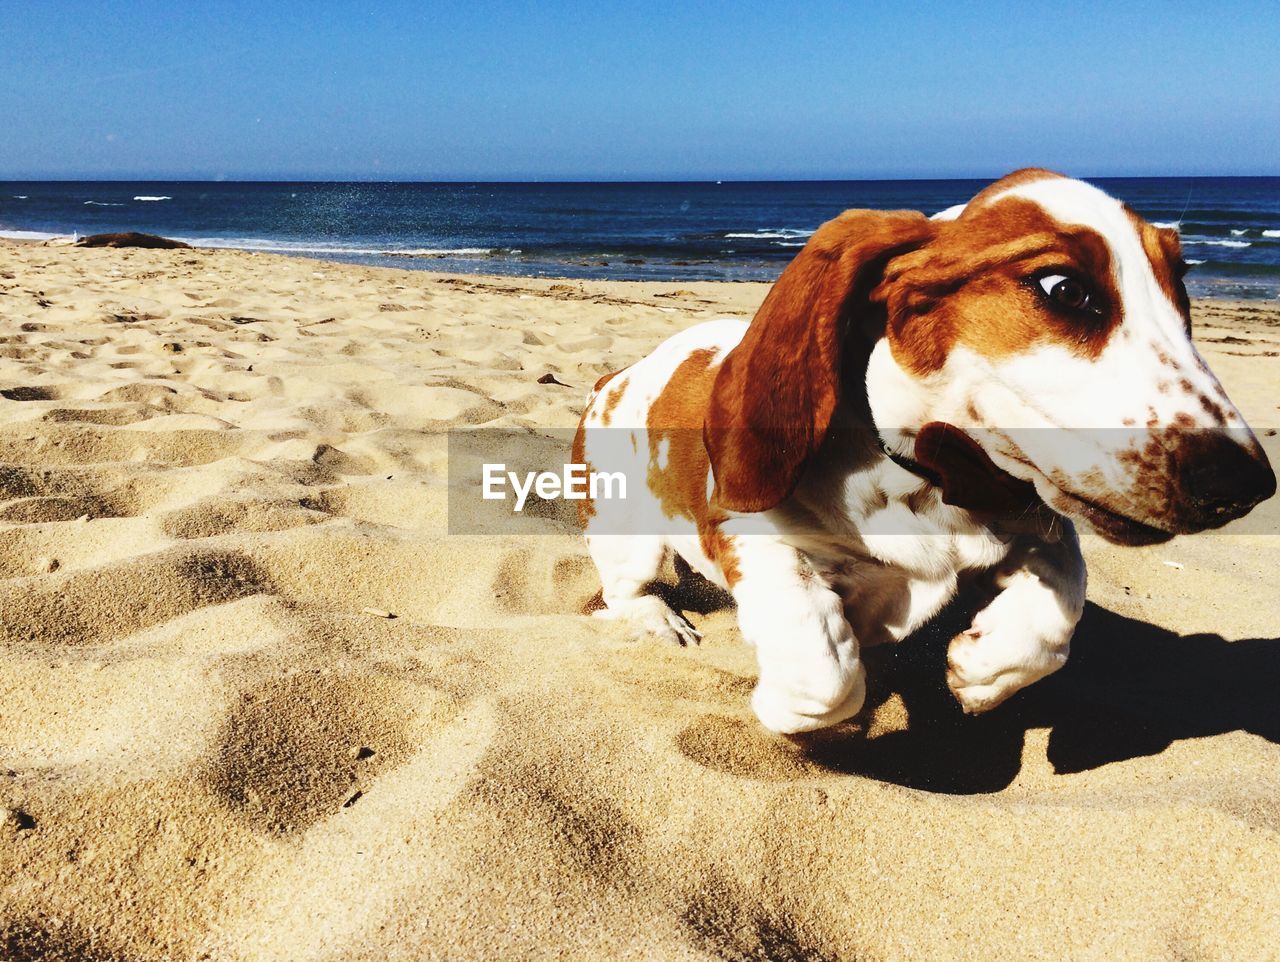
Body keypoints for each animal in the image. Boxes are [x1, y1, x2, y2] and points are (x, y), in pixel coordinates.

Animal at [576, 168, 1274, 731]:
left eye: (1182, 291)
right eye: (1064, 289)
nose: (1245, 487)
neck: (926, 487)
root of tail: (614, 377)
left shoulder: (1028, 519)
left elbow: (1063, 596)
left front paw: (987, 666)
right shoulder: (747, 532)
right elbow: (826, 672)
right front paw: (779, 704)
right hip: (628, 538)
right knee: (626, 592)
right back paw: (659, 621)